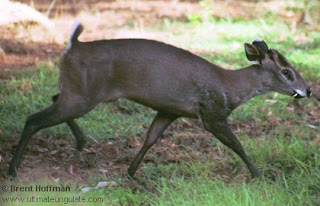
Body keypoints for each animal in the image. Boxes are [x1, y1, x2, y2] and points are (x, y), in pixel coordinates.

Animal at [9, 21, 310, 178]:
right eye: (287, 72)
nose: (308, 90)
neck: (230, 87)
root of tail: (72, 46)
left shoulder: (170, 110)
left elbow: (151, 138)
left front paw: (131, 171)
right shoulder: (212, 113)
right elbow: (237, 144)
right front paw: (259, 175)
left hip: (77, 91)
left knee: (52, 96)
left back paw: (81, 141)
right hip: (82, 96)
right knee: (33, 118)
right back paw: (13, 168)